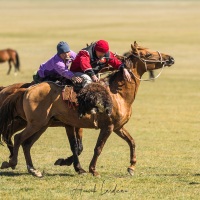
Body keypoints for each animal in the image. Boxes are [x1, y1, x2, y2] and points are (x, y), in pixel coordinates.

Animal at [0, 41, 175, 177]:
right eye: (149, 54)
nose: (170, 58)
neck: (117, 93)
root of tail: (28, 90)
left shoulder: (118, 127)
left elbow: (131, 142)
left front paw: (131, 167)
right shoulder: (107, 127)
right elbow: (97, 148)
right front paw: (92, 170)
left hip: (41, 125)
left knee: (26, 143)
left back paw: (32, 169)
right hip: (34, 124)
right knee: (18, 138)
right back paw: (12, 162)